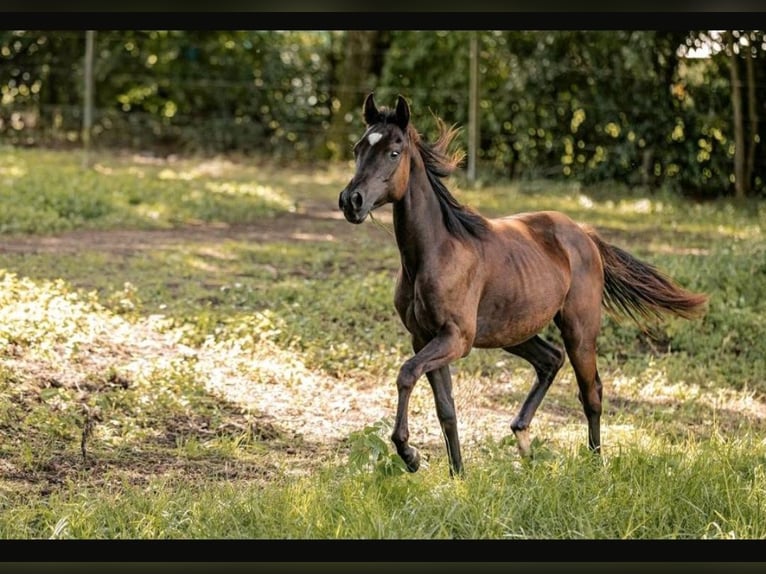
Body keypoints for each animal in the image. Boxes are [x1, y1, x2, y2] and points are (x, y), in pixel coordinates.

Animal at [340, 94, 712, 480]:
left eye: (393, 152)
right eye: (358, 149)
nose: (351, 201)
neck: (436, 251)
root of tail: (584, 234)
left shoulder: (456, 339)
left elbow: (406, 373)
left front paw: (409, 454)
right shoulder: (424, 338)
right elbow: (445, 408)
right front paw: (457, 475)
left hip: (579, 330)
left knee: (591, 391)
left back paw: (595, 464)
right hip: (514, 332)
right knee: (550, 360)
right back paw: (522, 438)